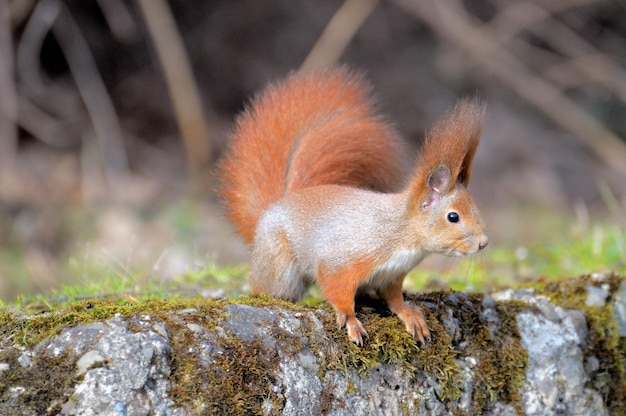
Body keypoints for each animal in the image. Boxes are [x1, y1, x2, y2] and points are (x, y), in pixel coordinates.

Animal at [219, 66, 488, 346]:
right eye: (453, 217)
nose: (483, 243)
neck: (401, 232)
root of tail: (274, 207)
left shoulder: (391, 275)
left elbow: (393, 298)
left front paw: (408, 313)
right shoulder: (345, 258)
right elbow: (336, 288)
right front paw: (350, 320)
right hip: (279, 267)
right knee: (271, 288)